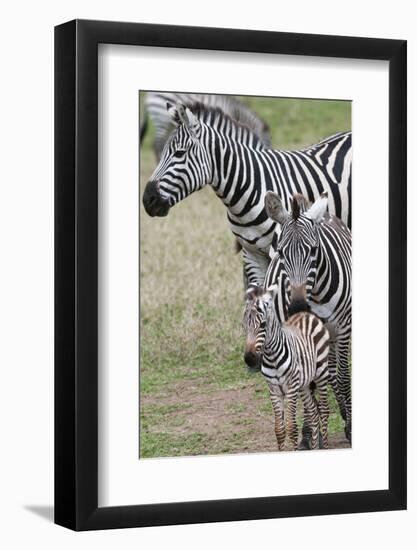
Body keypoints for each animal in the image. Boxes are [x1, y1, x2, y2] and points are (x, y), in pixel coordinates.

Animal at [242, 284, 330, 452]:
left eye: (263, 325)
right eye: (243, 327)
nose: (249, 359)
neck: (272, 357)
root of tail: (305, 314)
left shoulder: (290, 388)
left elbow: (291, 428)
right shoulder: (274, 390)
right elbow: (279, 429)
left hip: (321, 373)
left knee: (324, 411)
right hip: (303, 384)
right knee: (313, 413)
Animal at [264, 192, 352, 442]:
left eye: (313, 250)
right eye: (281, 252)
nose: (298, 305)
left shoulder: (343, 328)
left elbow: (343, 376)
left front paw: (350, 427)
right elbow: (308, 381)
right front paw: (307, 433)